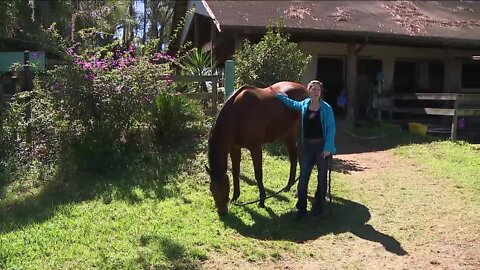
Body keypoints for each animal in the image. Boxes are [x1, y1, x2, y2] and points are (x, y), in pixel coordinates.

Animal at [204, 80, 306, 215]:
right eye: (212, 189)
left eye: (224, 188)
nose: (222, 212)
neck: (238, 115)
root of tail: (305, 89)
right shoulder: (234, 148)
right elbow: (236, 172)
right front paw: (235, 197)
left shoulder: (255, 147)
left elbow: (258, 174)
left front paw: (262, 201)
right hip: (287, 134)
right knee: (293, 156)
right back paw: (288, 186)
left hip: (300, 134)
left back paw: (298, 192)